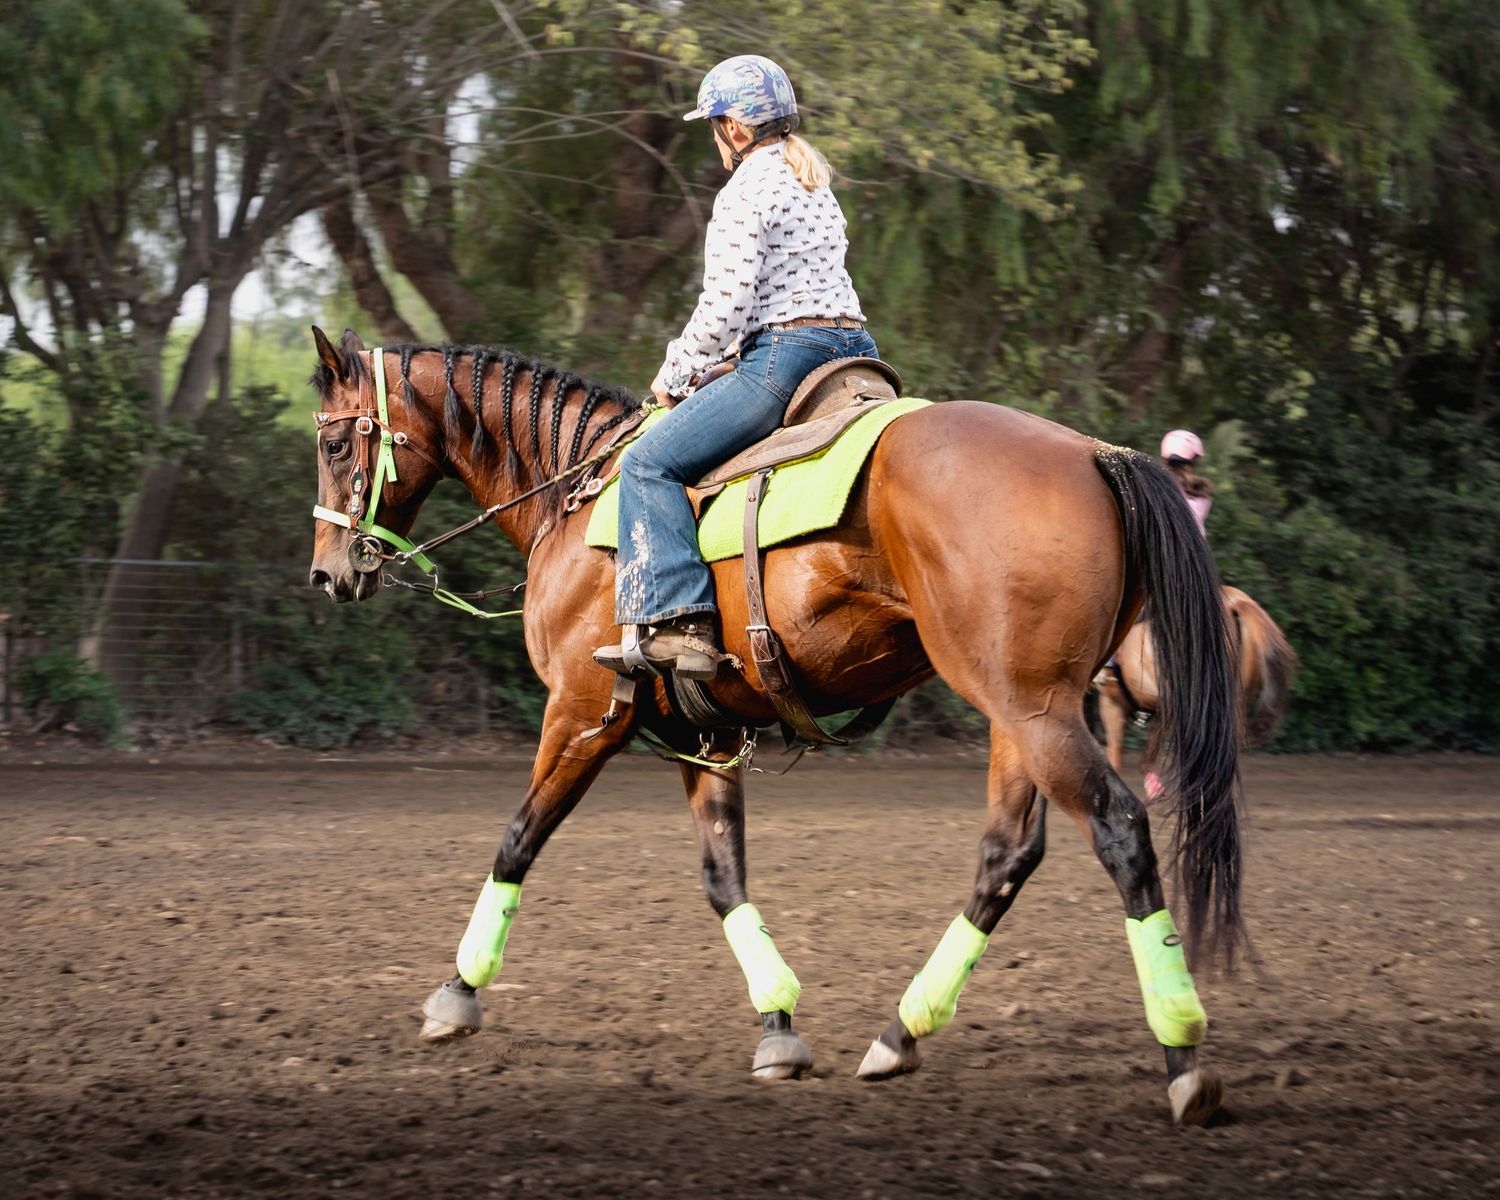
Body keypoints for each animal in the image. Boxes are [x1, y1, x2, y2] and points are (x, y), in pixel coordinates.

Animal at [306, 325, 1244, 1126]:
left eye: (334, 443)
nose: (327, 572)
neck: (576, 495)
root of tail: (1093, 454)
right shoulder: (704, 733)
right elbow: (724, 877)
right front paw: (779, 1026)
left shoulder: (580, 714)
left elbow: (518, 840)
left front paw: (457, 994)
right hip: (1022, 710)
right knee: (1007, 854)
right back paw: (900, 1033)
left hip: (1034, 709)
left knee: (1120, 829)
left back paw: (1184, 1053)